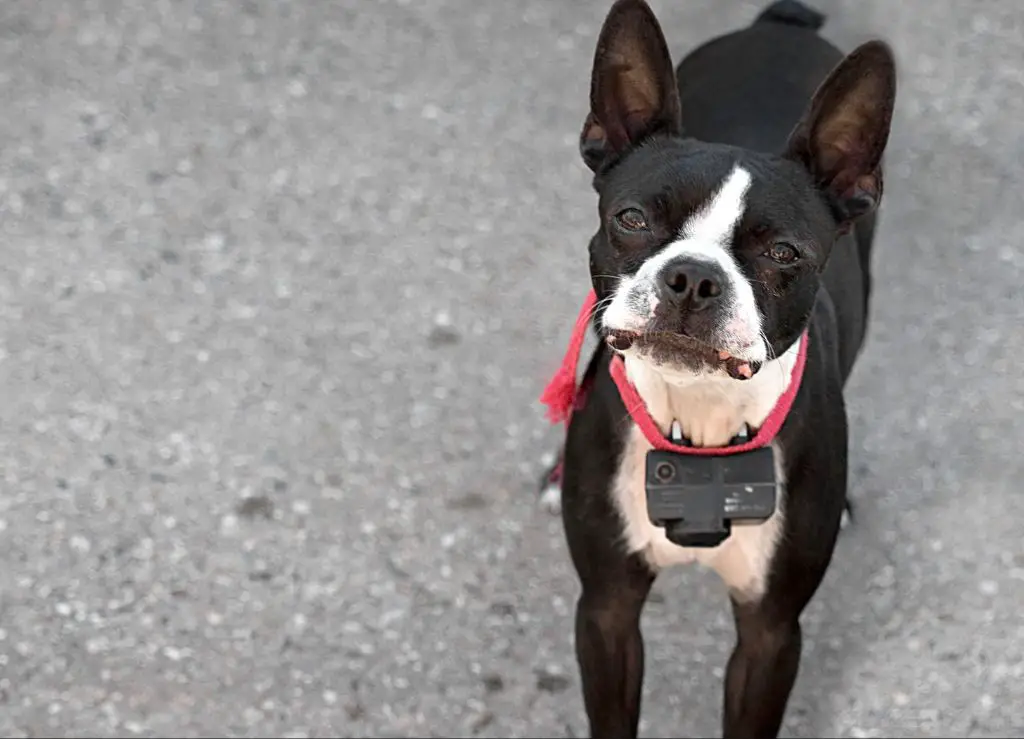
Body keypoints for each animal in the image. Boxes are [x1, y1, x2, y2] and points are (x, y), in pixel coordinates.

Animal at [536, 0, 897, 732]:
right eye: (632, 218)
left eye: (784, 253)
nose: (693, 278)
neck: (698, 418)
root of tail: (779, 24)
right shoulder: (607, 611)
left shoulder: (771, 632)